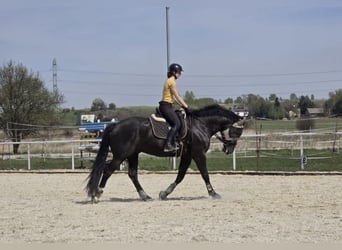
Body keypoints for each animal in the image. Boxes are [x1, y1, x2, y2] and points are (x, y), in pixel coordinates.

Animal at [87, 104, 244, 203]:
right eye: (236, 132)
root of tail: (115, 125)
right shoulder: (198, 154)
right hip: (121, 156)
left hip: (132, 155)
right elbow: (205, 174)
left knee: (132, 174)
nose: (229, 150)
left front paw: (164, 193)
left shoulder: (187, 155)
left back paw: (145, 196)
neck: (200, 125)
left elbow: (180, 176)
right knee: (108, 171)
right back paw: (96, 194)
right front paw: (213, 193)